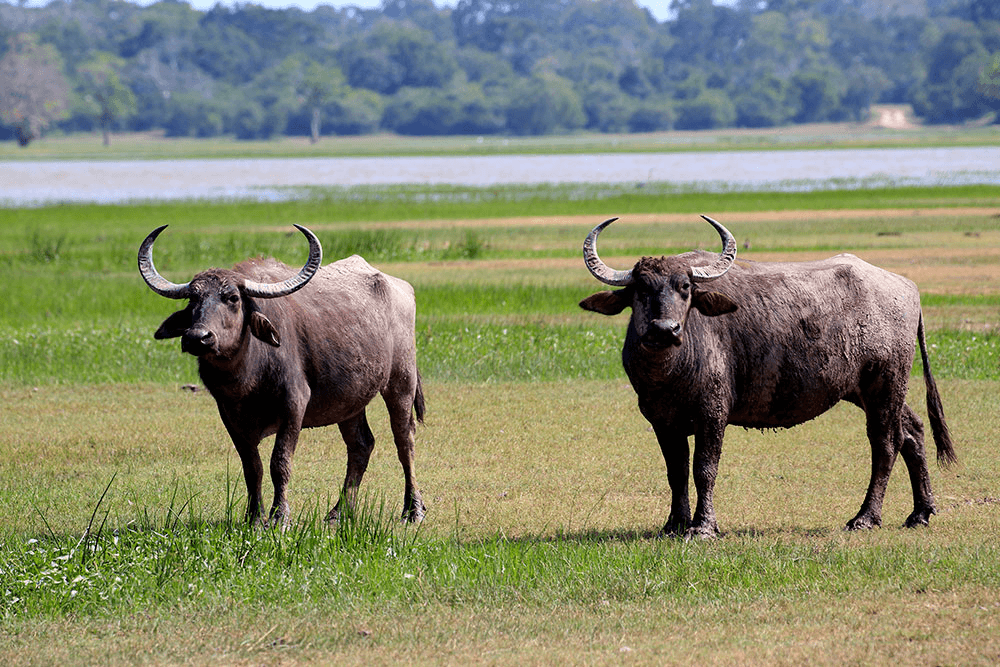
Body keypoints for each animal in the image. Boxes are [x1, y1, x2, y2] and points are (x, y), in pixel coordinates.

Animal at [139, 225, 426, 526]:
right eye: (193, 299)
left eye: (232, 298)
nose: (197, 337)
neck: (246, 380)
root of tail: (402, 288)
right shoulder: (229, 414)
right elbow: (252, 467)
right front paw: (254, 517)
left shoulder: (294, 404)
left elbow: (280, 462)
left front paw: (280, 517)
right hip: (350, 401)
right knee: (361, 446)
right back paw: (339, 512)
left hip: (401, 381)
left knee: (404, 441)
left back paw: (413, 509)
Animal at [580, 215, 956, 538]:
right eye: (641, 290)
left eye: (685, 287)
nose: (664, 329)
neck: (670, 373)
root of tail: (908, 288)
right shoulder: (662, 421)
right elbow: (676, 472)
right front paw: (674, 523)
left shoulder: (712, 415)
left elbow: (704, 468)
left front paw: (703, 526)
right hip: (868, 391)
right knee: (913, 431)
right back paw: (920, 512)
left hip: (885, 384)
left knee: (886, 444)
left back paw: (865, 518)